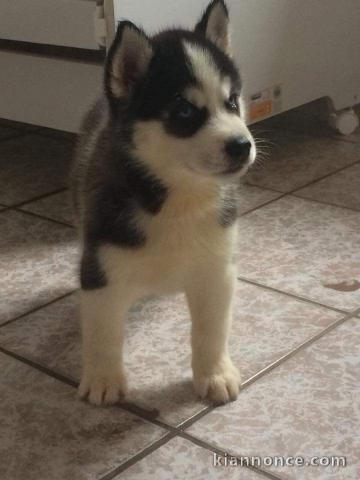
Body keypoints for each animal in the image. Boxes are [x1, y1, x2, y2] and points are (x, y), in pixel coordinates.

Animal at [71, 0, 255, 404]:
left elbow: (210, 330)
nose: (242, 145)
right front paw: (104, 378)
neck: (180, 199)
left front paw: (214, 373)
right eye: (184, 111)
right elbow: (103, 333)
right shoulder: (101, 270)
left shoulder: (216, 271)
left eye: (232, 102)